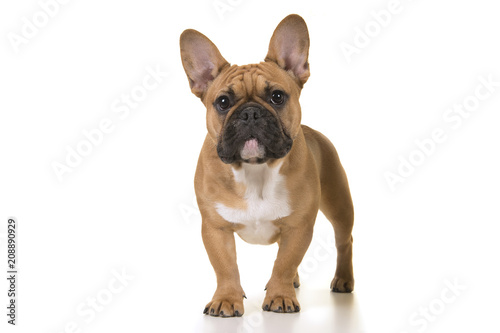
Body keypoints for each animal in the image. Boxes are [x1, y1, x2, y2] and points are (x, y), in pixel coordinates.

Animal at [180, 14, 356, 316]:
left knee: (344, 241)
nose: (250, 113)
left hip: (340, 205)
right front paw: (226, 299)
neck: (255, 170)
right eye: (223, 102)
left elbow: (284, 263)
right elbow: (225, 267)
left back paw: (343, 280)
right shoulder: (215, 228)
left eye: (277, 96)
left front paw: (280, 296)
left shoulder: (298, 226)